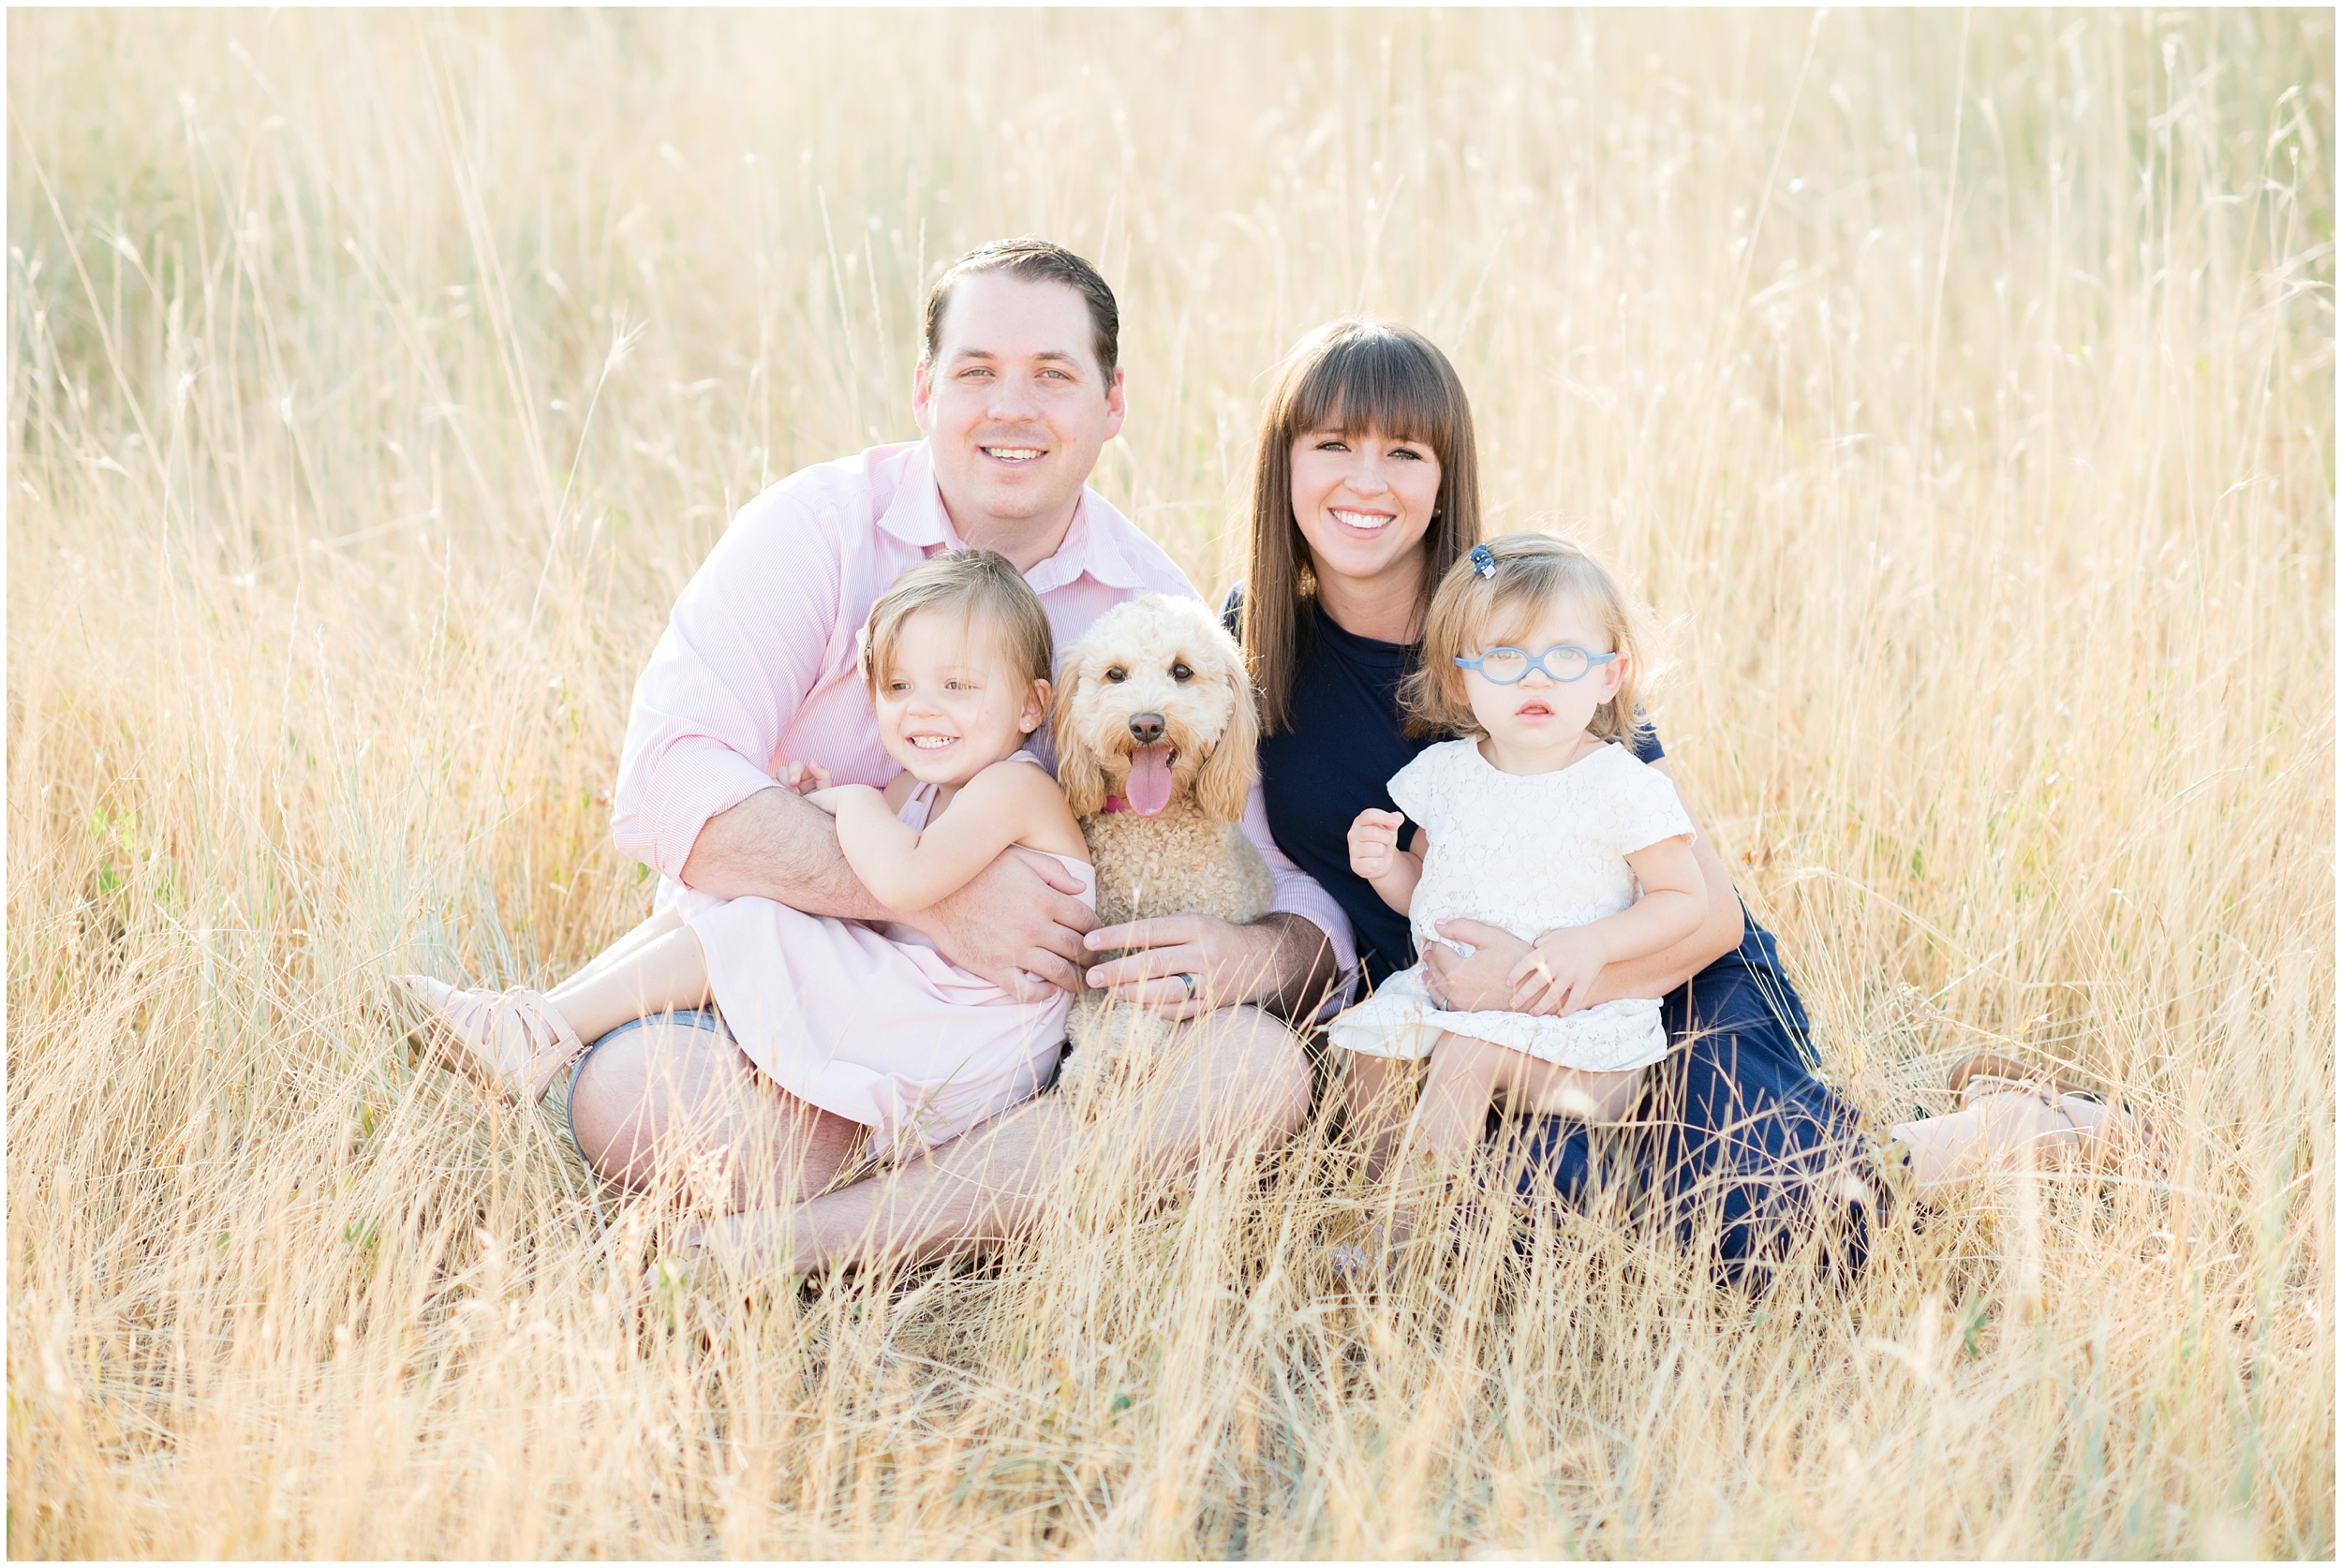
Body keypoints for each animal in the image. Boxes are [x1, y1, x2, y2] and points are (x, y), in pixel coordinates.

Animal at [1054, 597, 1274, 1100]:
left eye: (1182, 671)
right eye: (1115, 674)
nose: (1146, 724)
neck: (1150, 835)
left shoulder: (1162, 964)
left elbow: (1134, 1015)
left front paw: (1109, 1063)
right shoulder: (1093, 963)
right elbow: (1088, 1018)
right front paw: (1088, 1068)